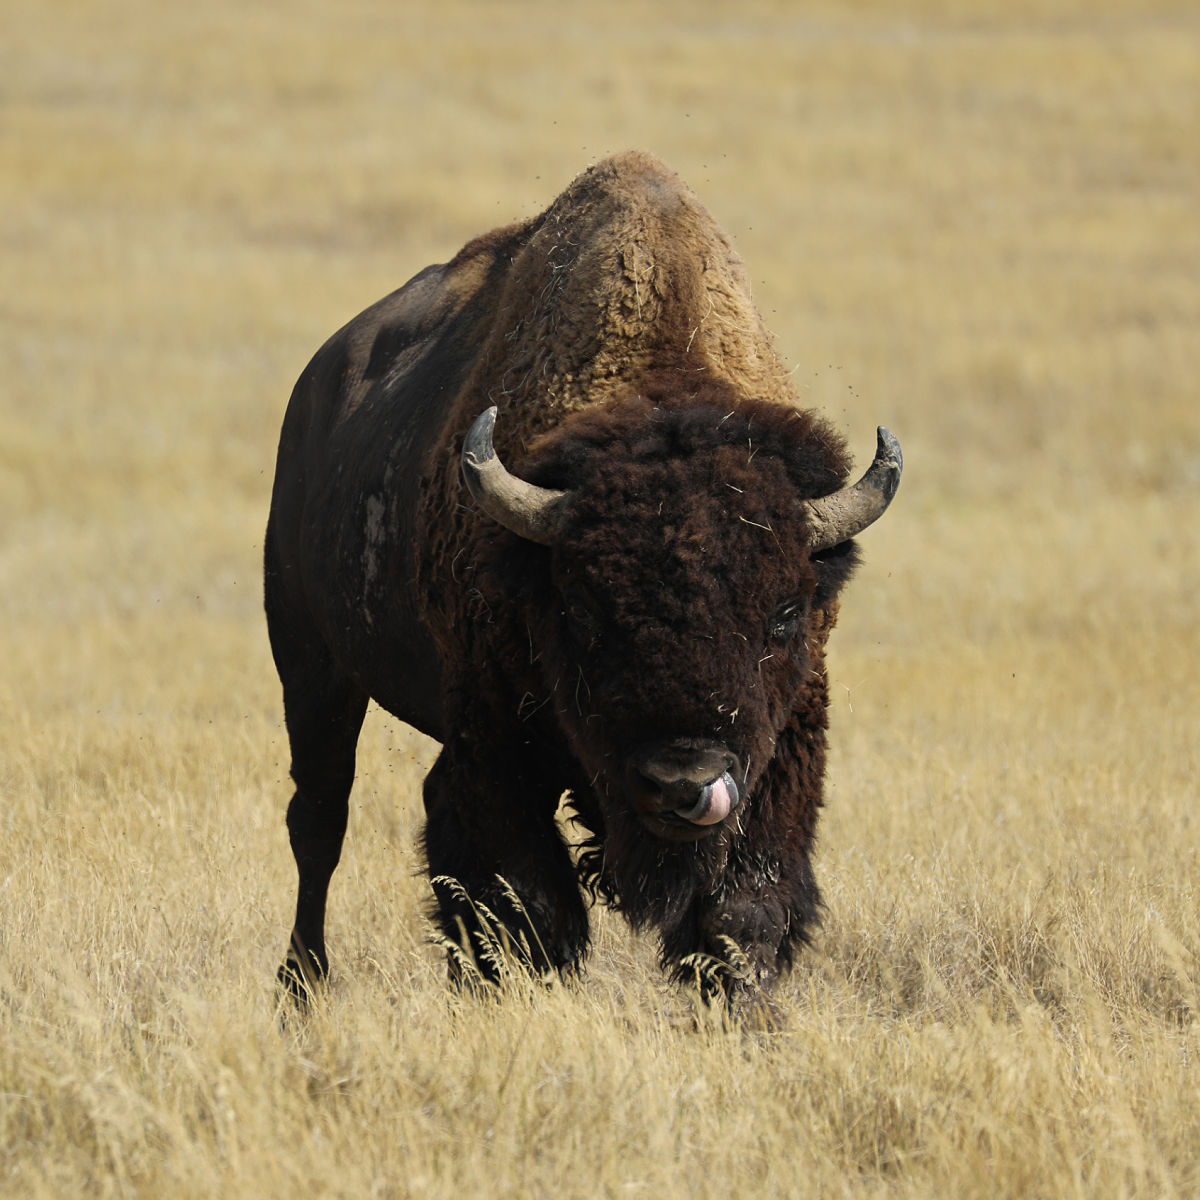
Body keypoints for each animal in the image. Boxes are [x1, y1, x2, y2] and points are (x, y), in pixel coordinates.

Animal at [265, 151, 901, 1010]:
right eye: (582, 611)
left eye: (786, 612)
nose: (683, 783)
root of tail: (315, 391)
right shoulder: (495, 738)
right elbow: (526, 902)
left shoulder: (786, 739)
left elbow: (745, 906)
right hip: (313, 664)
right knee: (320, 821)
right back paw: (300, 985)